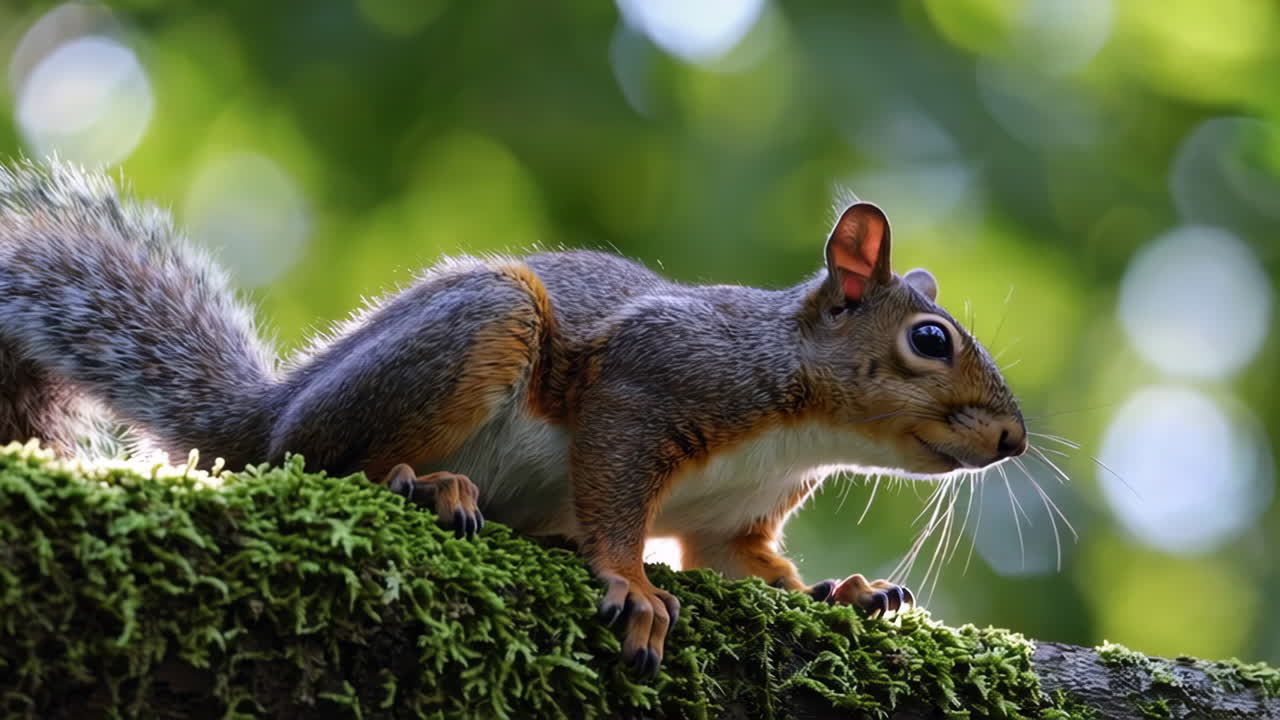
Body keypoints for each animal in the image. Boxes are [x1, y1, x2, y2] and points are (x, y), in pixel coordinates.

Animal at [0, 160, 1026, 676]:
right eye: (930, 340)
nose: (1013, 439)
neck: (802, 429)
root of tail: (262, 415)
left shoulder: (734, 519)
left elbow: (745, 562)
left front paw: (844, 591)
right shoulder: (653, 381)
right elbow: (614, 492)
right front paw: (634, 586)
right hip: (485, 327)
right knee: (315, 458)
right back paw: (420, 484)